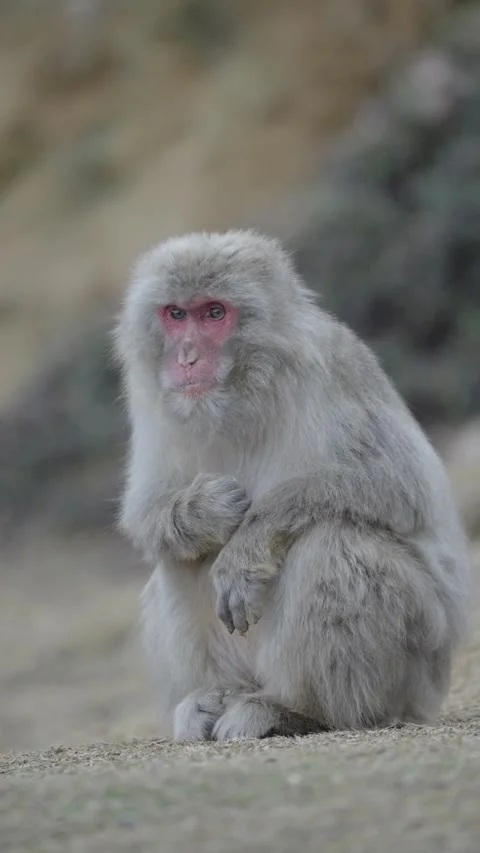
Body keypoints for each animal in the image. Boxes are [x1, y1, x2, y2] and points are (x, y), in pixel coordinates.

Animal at [115, 229, 471, 742]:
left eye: (215, 313)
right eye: (176, 314)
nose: (186, 358)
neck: (245, 392)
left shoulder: (331, 369)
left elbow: (398, 486)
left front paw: (248, 545)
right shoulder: (157, 405)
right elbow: (145, 511)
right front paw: (206, 510)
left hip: (416, 668)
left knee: (333, 543)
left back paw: (296, 711)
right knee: (179, 558)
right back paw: (211, 698)